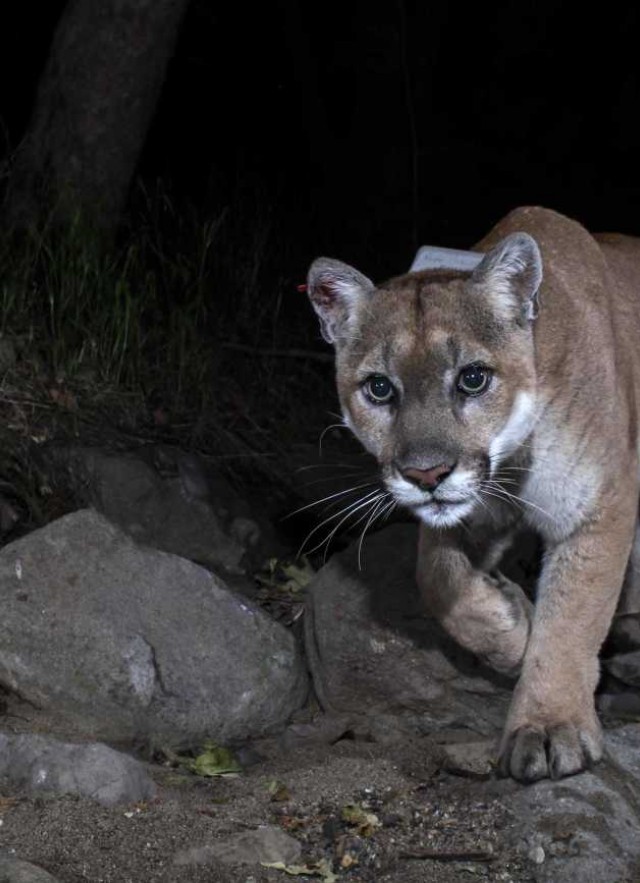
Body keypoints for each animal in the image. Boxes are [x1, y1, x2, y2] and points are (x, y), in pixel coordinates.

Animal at [306, 209, 640, 788]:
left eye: (473, 378)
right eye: (379, 388)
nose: (426, 474)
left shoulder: (599, 507)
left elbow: (572, 618)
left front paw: (549, 725)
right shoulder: (470, 512)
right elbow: (438, 579)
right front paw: (512, 631)